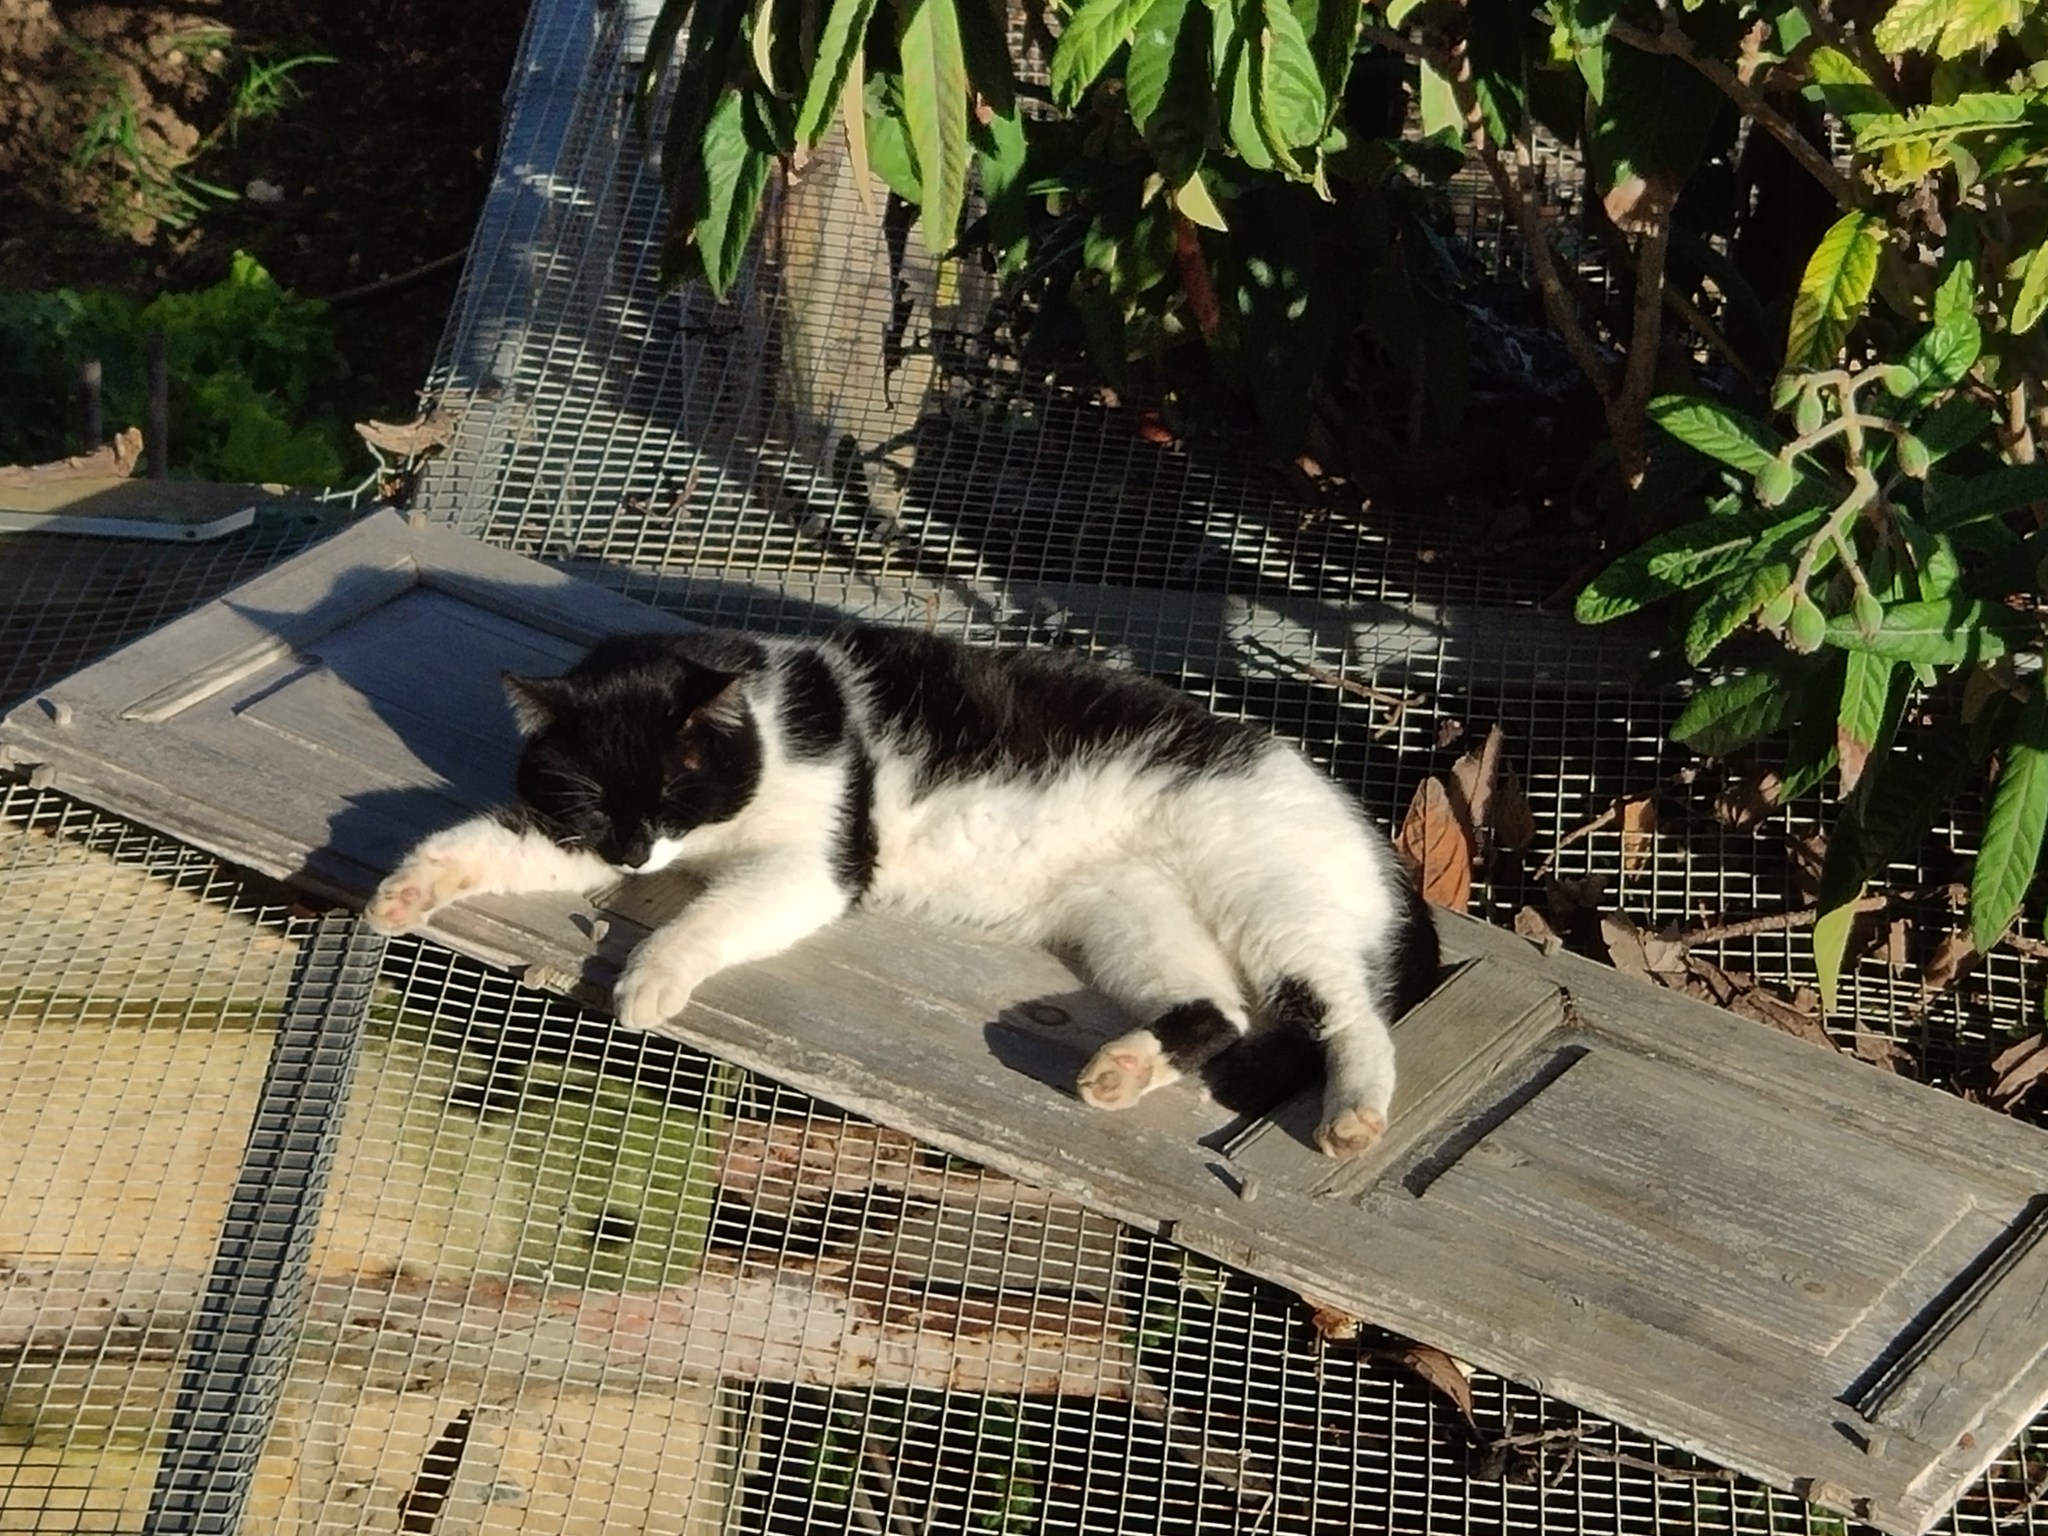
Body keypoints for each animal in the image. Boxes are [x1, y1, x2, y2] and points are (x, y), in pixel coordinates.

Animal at [365, 625, 1441, 1156]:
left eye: (674, 788)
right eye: (594, 803)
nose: (635, 855)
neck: (769, 720)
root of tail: (1363, 824)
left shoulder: (815, 866)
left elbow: (710, 918)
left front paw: (650, 979)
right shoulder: (574, 841)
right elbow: (478, 842)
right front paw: (402, 893)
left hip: (1271, 905)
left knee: (1348, 1016)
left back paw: (1352, 1116)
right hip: (1131, 916)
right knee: (1217, 1010)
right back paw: (1120, 1070)